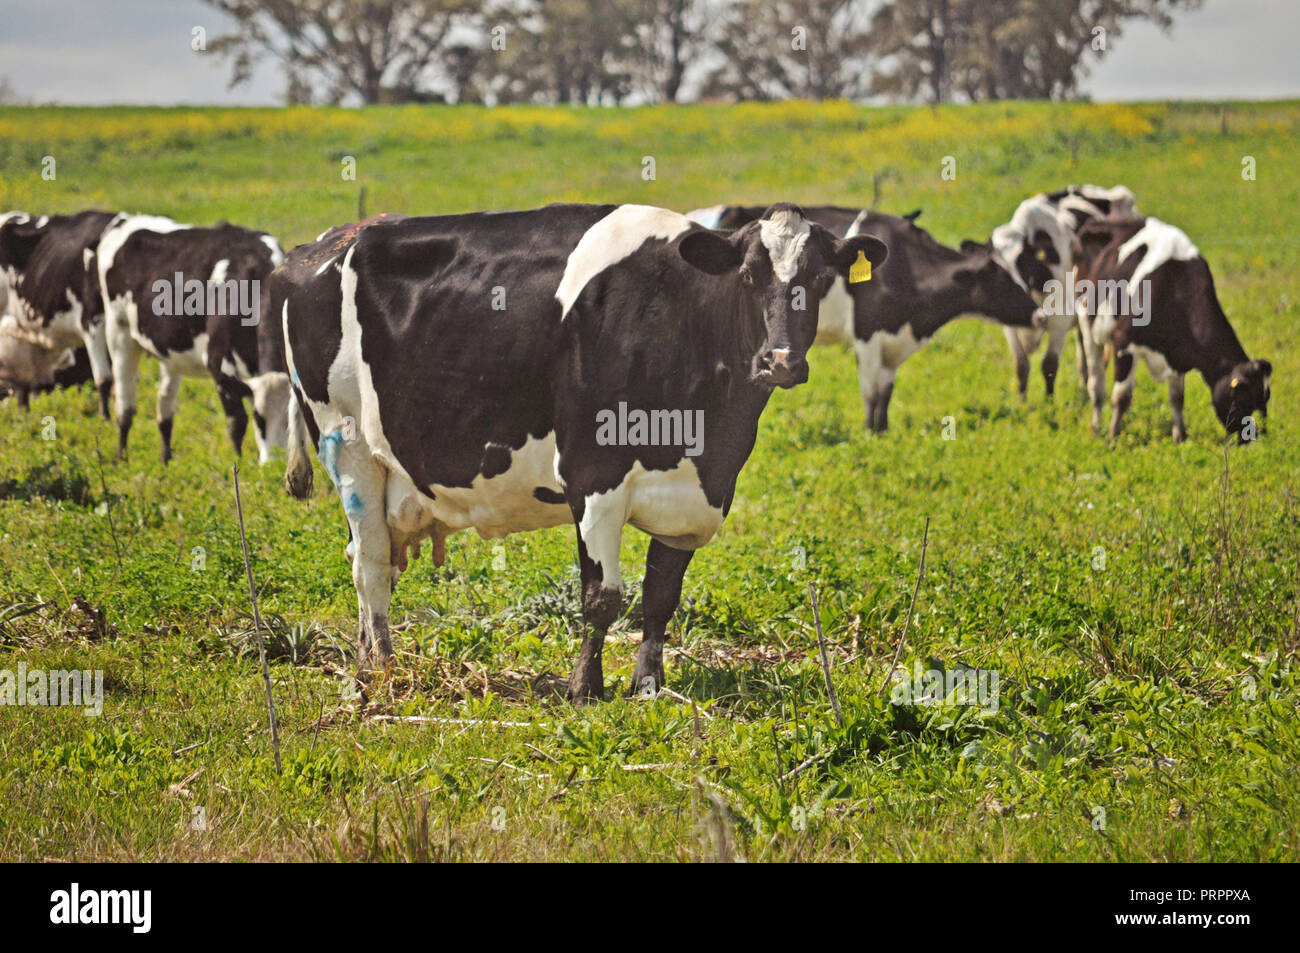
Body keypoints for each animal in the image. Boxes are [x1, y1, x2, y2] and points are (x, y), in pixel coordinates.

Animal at [95, 214, 289, 464]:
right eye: (260, 418)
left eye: (290, 422)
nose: (273, 465)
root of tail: (126, 219)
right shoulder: (219, 366)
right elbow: (236, 423)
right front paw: (239, 463)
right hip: (119, 334)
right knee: (124, 406)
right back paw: (122, 457)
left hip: (168, 351)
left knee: (164, 408)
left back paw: (166, 461)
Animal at [279, 202, 888, 702]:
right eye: (748, 276)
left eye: (820, 278)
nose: (780, 361)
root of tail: (328, 242)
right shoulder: (594, 475)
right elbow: (603, 597)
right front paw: (584, 689)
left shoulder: (696, 494)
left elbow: (660, 597)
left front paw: (648, 685)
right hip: (346, 442)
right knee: (370, 562)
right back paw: (382, 668)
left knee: (370, 558)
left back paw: (367, 660)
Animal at [687, 204, 1045, 432]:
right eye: (1000, 276)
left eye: (1021, 272)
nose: (1041, 315)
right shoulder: (867, 334)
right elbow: (871, 392)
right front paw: (869, 433)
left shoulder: (892, 340)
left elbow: (885, 392)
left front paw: (882, 431)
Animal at [991, 184, 1139, 399]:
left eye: (1022, 261)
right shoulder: (1009, 326)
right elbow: (1021, 365)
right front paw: (1021, 401)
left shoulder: (1060, 316)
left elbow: (1049, 365)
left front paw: (1049, 402)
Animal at [1071, 215, 1271, 443]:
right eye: (1243, 399)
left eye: (1265, 399)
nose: (1252, 438)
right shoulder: (1123, 342)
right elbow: (1122, 396)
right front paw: (1113, 437)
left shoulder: (1179, 355)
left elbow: (1177, 398)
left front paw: (1180, 436)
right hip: (1087, 321)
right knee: (1096, 384)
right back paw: (1096, 428)